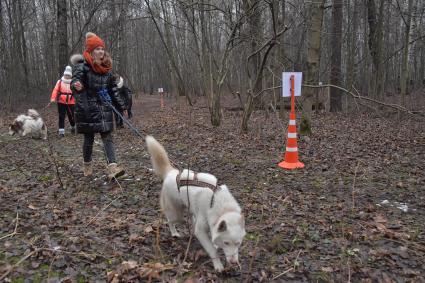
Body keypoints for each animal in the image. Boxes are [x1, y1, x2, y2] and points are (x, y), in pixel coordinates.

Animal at [146, 136, 245, 272]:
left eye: (238, 243)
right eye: (226, 243)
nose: (234, 263)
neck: (220, 206)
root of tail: (171, 172)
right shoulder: (201, 230)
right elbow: (212, 250)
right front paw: (218, 265)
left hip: (191, 210)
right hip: (177, 214)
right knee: (171, 221)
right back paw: (174, 233)